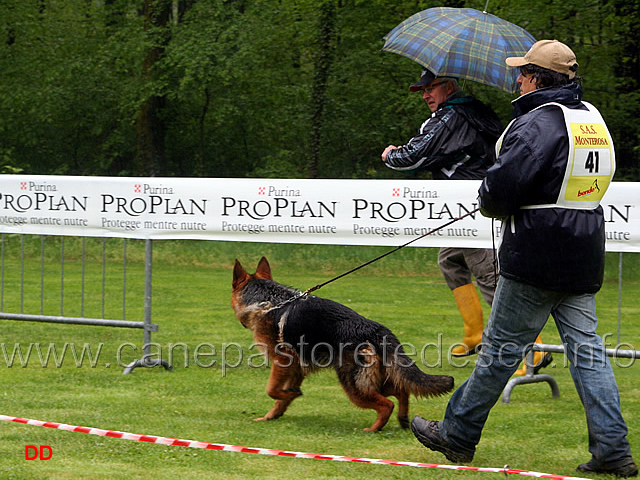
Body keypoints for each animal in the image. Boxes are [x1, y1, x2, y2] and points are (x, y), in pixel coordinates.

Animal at [230, 256, 456, 434]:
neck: (268, 301)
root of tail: (376, 330)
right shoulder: (297, 368)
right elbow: (281, 398)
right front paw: (273, 414)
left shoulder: (283, 361)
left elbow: (272, 390)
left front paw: (289, 395)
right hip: (373, 380)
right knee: (402, 390)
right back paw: (402, 419)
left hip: (353, 385)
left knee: (387, 404)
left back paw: (373, 429)